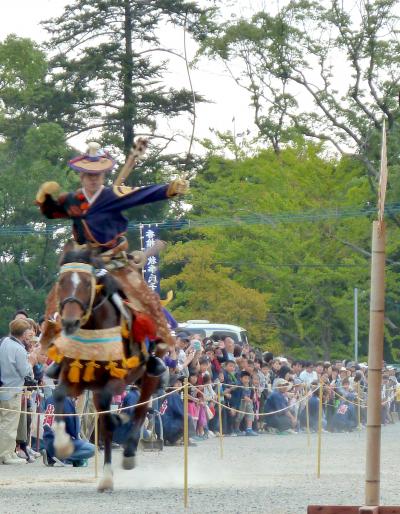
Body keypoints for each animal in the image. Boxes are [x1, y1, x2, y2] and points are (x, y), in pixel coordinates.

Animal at [45, 250, 161, 490]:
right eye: (62, 282)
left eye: (87, 284)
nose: (70, 321)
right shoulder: (75, 379)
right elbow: (59, 395)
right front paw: (63, 445)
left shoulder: (117, 380)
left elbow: (114, 412)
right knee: (108, 424)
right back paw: (107, 475)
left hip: (147, 376)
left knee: (141, 409)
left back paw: (127, 452)